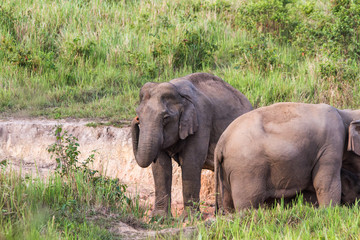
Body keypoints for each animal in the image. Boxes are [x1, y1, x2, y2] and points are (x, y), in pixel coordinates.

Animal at [131, 72, 252, 217]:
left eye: (166, 118)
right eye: (139, 115)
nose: (135, 120)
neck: (180, 94)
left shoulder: (201, 120)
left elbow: (191, 163)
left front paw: (188, 218)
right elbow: (161, 166)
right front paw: (159, 218)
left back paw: (224, 214)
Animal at [215, 101, 360, 212]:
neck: (344, 113)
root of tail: (221, 142)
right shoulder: (331, 144)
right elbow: (325, 183)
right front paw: (330, 212)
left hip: (227, 171)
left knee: (228, 200)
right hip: (246, 169)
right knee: (249, 202)